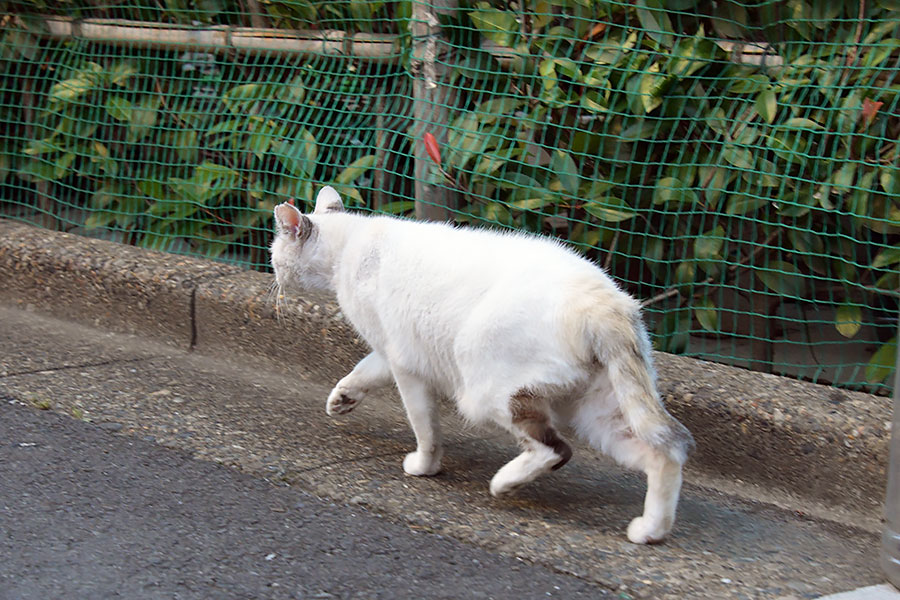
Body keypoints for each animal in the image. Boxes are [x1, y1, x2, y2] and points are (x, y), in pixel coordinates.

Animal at [270, 185, 692, 540]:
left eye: (274, 254)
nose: (273, 273)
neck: (348, 247)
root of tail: (604, 301)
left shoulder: (406, 365)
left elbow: (424, 427)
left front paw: (424, 466)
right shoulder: (391, 352)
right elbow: (362, 372)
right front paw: (340, 400)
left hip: (484, 390)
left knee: (555, 450)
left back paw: (505, 483)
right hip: (600, 411)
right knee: (663, 456)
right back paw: (651, 530)